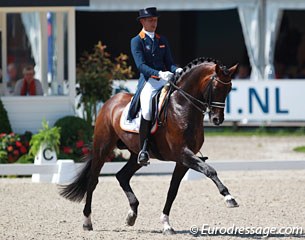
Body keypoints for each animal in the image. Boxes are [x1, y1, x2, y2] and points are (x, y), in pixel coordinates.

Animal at [59, 57, 239, 234]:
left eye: (229, 88)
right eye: (216, 87)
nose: (217, 119)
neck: (182, 106)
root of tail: (111, 101)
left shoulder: (183, 161)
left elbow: (172, 190)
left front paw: (166, 224)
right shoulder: (183, 154)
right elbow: (210, 170)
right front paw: (229, 197)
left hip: (135, 154)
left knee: (122, 176)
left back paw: (131, 215)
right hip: (102, 148)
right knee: (93, 181)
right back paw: (87, 222)